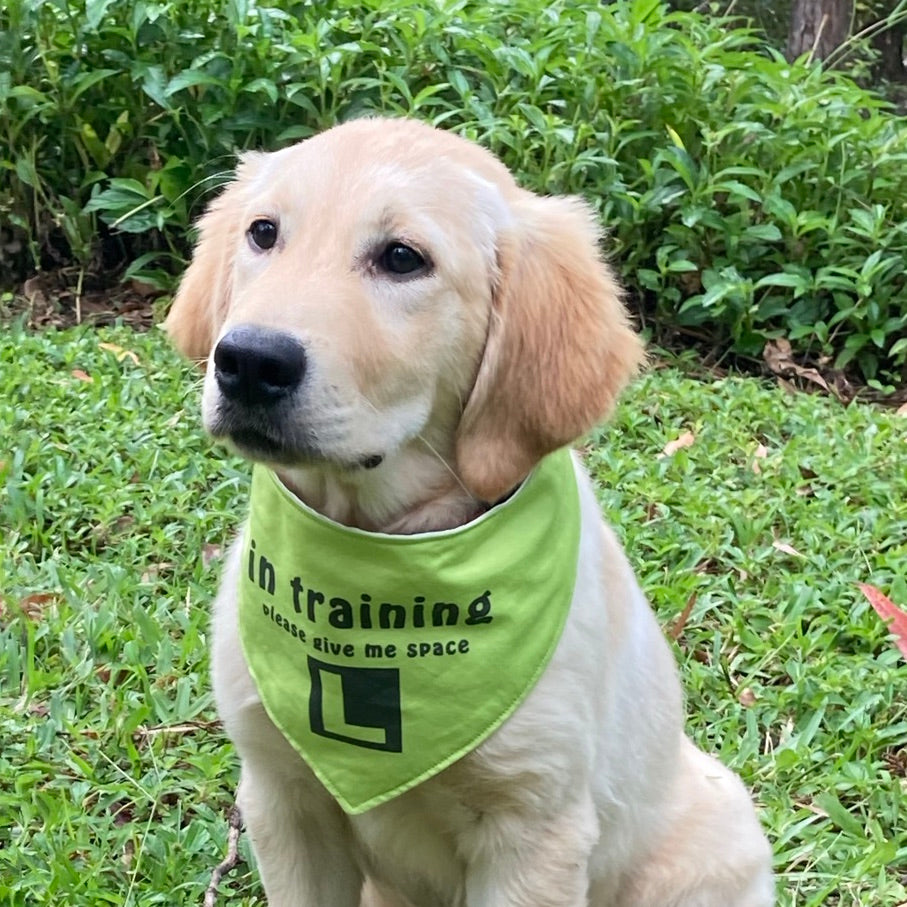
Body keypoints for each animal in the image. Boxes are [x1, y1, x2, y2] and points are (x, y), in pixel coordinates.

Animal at [165, 117, 772, 904]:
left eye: (402, 258)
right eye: (263, 233)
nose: (247, 361)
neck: (381, 550)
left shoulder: (534, 831)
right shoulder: (282, 796)